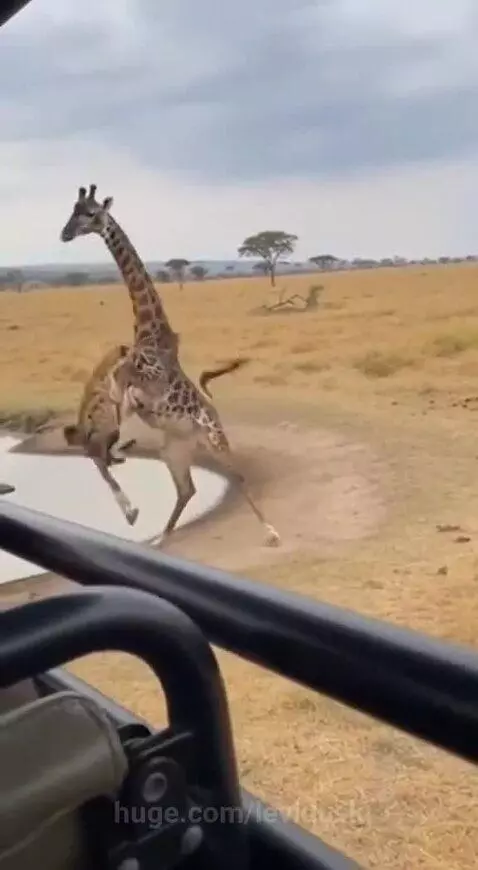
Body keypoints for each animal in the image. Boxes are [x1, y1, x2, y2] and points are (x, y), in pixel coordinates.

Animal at [59, 185, 280, 547]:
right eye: (73, 210)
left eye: (90, 213)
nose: (64, 234)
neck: (149, 330)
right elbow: (111, 402)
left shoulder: (150, 377)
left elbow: (121, 384)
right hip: (173, 452)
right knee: (185, 489)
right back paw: (157, 535)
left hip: (213, 438)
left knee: (236, 475)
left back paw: (272, 531)